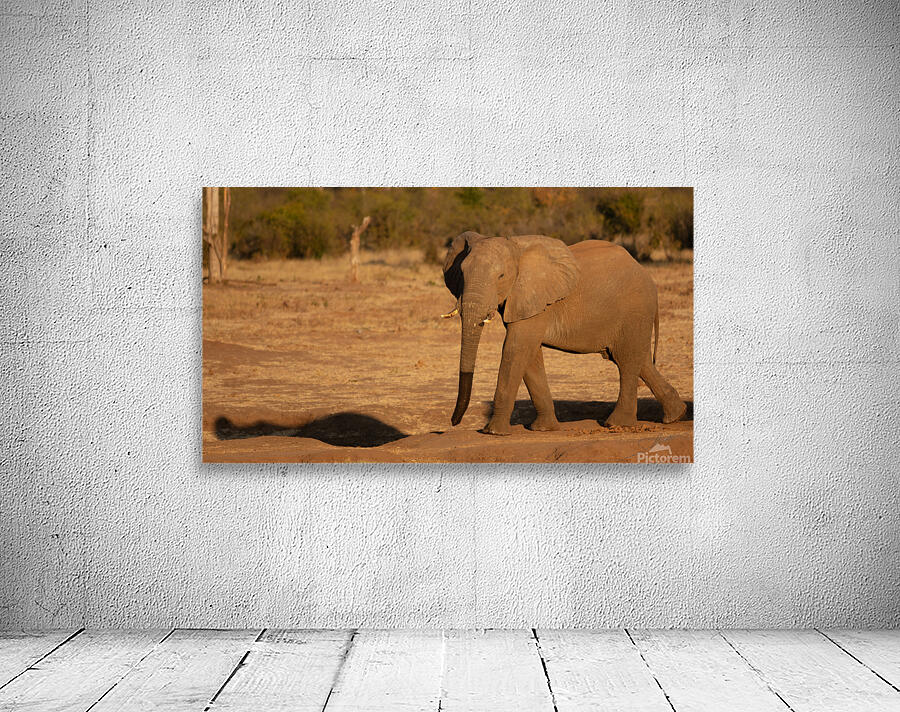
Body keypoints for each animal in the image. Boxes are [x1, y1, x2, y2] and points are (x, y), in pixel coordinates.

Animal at [442, 231, 686, 435]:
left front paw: (493, 432)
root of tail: (647, 276)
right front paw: (543, 429)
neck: (516, 248)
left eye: (501, 276)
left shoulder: (536, 298)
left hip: (635, 310)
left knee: (627, 360)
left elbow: (515, 349)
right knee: (637, 359)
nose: (453, 422)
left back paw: (616, 424)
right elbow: (529, 355)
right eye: (461, 274)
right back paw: (676, 416)